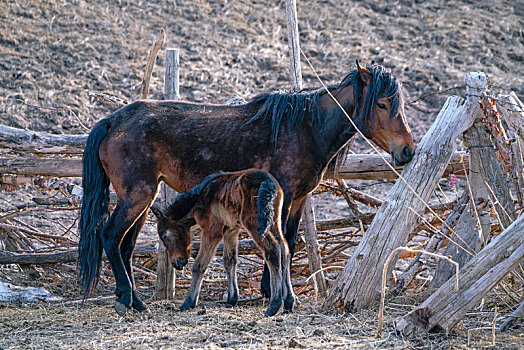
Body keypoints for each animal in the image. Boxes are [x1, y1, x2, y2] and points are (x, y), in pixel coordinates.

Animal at [151, 170, 294, 318]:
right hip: (274, 221)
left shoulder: (212, 230)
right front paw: (232, 299)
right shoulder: (231, 230)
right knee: (284, 249)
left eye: (164, 236)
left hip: (255, 223)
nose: (176, 263)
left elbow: (200, 264)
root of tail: (269, 183)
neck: (202, 196)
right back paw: (288, 302)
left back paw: (274, 305)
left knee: (273, 250)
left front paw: (189, 302)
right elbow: (230, 261)